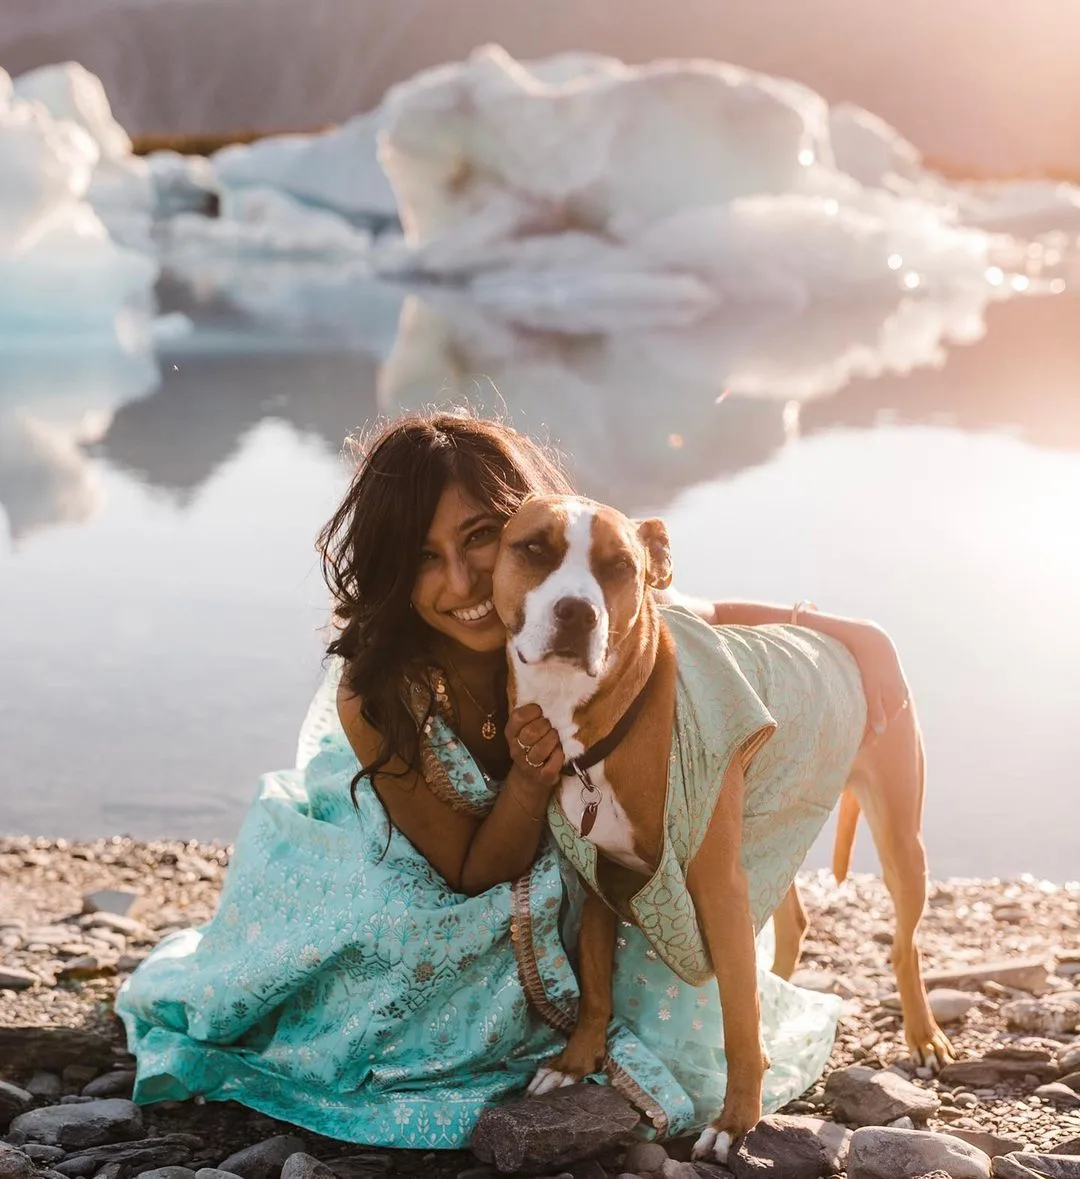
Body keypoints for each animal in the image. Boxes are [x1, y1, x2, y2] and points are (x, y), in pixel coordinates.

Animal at [490, 492, 952, 1164]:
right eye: (533, 548)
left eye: (619, 567)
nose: (578, 611)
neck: (600, 725)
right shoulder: (598, 876)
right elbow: (597, 987)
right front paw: (575, 1065)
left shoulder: (714, 885)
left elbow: (737, 1018)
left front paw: (736, 1121)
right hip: (767, 833)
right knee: (791, 918)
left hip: (896, 837)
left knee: (904, 942)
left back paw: (922, 1035)